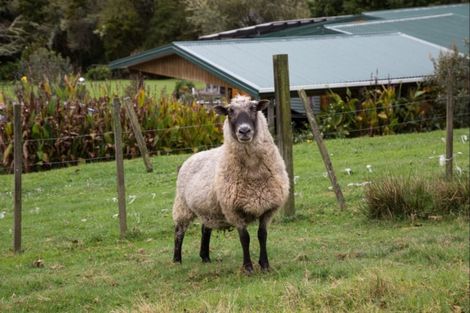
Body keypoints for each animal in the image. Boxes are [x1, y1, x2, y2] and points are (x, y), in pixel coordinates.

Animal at [173, 95, 290, 272]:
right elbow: (245, 238)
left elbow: (262, 236)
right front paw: (248, 267)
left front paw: (264, 265)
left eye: (253, 108)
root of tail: (191, 157)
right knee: (179, 231)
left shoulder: (268, 209)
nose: (244, 131)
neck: (253, 171)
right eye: (230, 111)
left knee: (205, 229)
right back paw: (176, 260)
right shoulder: (233, 209)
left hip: (209, 207)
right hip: (182, 205)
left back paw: (205, 257)